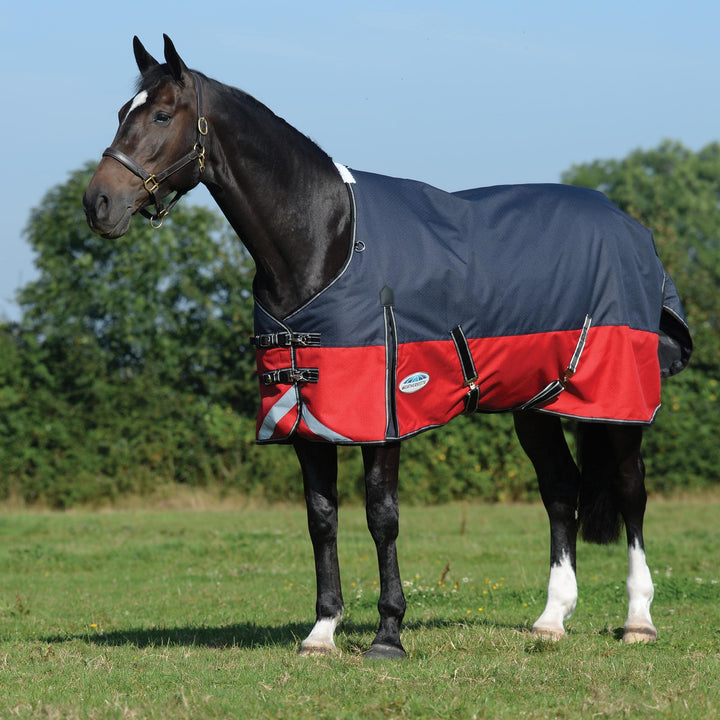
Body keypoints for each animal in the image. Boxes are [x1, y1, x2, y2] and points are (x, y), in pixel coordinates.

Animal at [83, 35, 692, 659]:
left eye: (161, 114)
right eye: (121, 112)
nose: (97, 203)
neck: (326, 240)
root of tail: (630, 227)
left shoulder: (384, 413)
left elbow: (382, 516)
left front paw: (388, 633)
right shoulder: (306, 416)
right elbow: (321, 519)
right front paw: (322, 631)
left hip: (618, 403)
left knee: (631, 492)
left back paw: (638, 619)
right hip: (537, 405)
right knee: (560, 490)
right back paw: (552, 618)